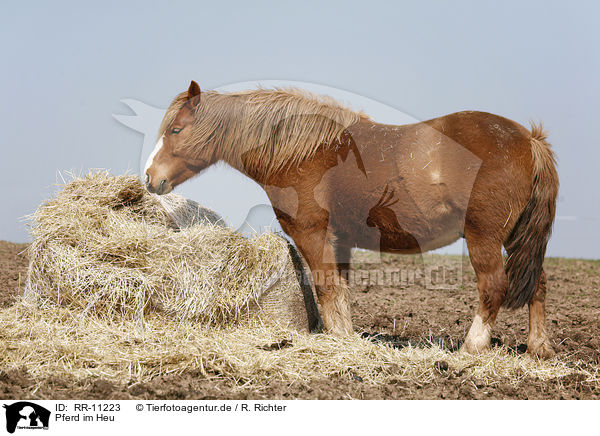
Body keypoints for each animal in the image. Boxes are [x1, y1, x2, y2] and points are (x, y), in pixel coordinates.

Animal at [145, 81, 556, 358]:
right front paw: (347, 338)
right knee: (536, 285)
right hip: (518, 240)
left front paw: (338, 340)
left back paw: (471, 348)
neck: (304, 152)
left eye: (176, 129)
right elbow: (340, 290)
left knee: (494, 287)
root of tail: (528, 140)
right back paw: (539, 349)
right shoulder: (339, 239)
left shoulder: (311, 233)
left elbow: (325, 287)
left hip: (483, 238)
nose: (150, 178)